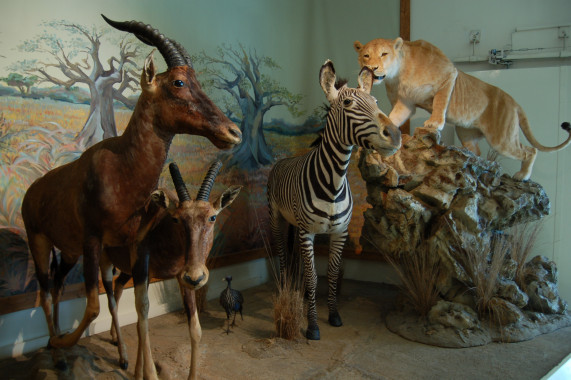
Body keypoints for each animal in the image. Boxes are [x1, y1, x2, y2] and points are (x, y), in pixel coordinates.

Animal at [103, 162, 241, 380]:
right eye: (176, 219)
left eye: (212, 217)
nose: (196, 275)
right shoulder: (143, 270)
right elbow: (143, 321)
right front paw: (146, 373)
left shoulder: (179, 278)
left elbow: (195, 329)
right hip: (106, 264)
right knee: (109, 301)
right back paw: (123, 358)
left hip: (127, 272)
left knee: (118, 288)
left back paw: (115, 339)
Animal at [268, 60, 402, 342]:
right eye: (349, 104)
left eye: (375, 101)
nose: (395, 136)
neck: (334, 180)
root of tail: (284, 160)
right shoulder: (307, 231)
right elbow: (312, 278)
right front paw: (312, 326)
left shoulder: (339, 232)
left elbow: (330, 273)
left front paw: (333, 315)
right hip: (276, 217)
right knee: (283, 254)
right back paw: (285, 287)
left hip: (295, 224)